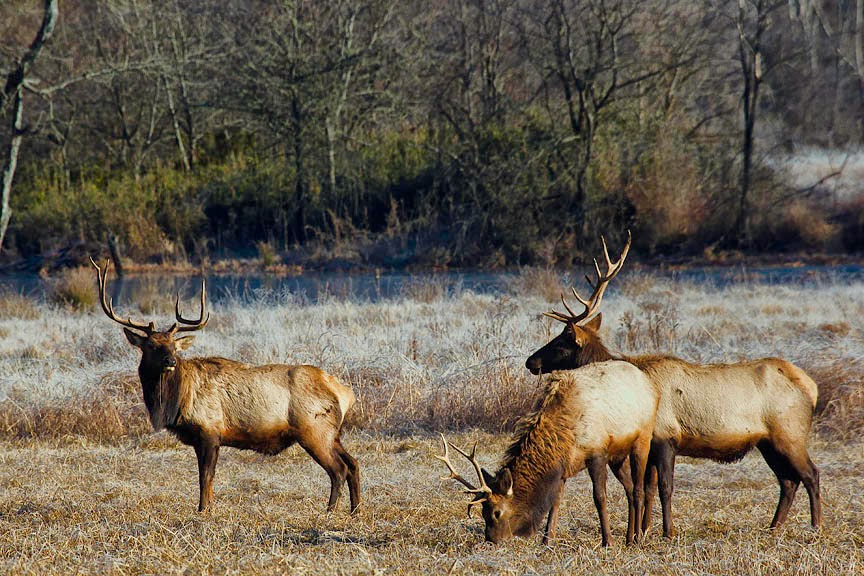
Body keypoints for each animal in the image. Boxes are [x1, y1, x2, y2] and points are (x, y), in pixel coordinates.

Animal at [90, 258, 360, 515]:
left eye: (174, 346)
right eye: (152, 346)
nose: (171, 361)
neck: (175, 402)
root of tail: (345, 393)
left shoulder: (210, 430)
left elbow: (205, 478)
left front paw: (203, 510)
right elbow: (206, 478)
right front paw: (208, 508)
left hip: (314, 429)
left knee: (338, 469)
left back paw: (329, 511)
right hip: (332, 433)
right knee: (353, 463)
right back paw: (355, 510)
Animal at [437, 360, 658, 547]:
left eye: (497, 513)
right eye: (483, 512)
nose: (490, 540)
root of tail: (647, 382)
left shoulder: (597, 453)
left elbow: (599, 497)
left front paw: (608, 542)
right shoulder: (564, 466)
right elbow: (555, 501)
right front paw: (546, 541)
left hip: (642, 438)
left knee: (638, 489)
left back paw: (638, 538)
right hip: (618, 456)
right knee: (629, 488)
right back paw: (629, 537)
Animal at [524, 232, 822, 538]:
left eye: (561, 342)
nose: (530, 361)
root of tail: (811, 386)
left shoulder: (666, 436)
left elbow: (664, 487)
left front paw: (667, 532)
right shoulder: (653, 442)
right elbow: (649, 488)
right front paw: (644, 530)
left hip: (789, 432)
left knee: (810, 474)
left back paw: (816, 525)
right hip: (767, 442)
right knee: (788, 481)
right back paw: (774, 526)